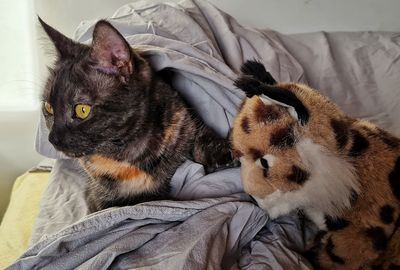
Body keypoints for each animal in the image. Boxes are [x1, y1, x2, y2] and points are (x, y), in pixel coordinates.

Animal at [39, 17, 233, 213]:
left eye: (82, 110)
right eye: (48, 108)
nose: (52, 139)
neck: (129, 152)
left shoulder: (182, 120)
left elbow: (202, 138)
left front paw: (223, 153)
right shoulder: (98, 198)